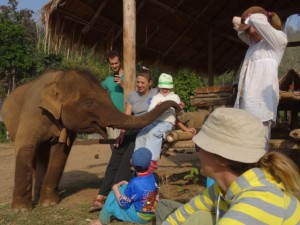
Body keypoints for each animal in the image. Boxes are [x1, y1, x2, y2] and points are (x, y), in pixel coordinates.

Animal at [1, 69, 180, 212]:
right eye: (90, 103)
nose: (178, 107)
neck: (59, 78)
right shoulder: (32, 114)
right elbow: (25, 148)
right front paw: (21, 210)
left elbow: (60, 153)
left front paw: (49, 203)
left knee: (43, 155)